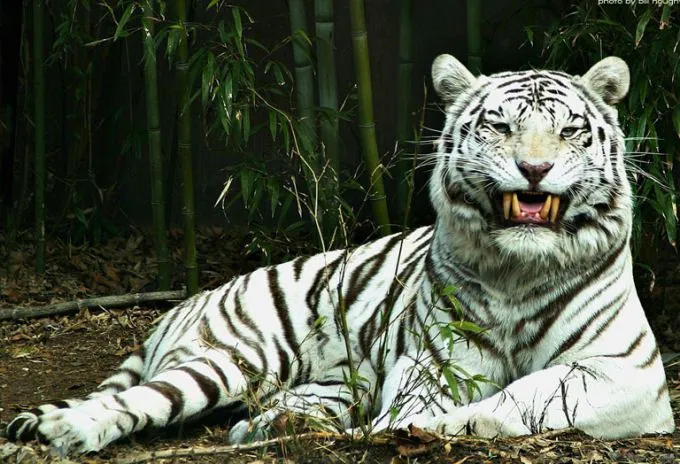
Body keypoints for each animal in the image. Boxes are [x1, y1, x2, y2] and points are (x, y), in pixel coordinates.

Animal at [7, 55, 675, 455]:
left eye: (569, 131)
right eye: (499, 126)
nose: (534, 169)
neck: (518, 267)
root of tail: (185, 302)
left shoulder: (623, 371)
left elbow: (519, 400)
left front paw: (410, 430)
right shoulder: (433, 363)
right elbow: (445, 402)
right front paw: (400, 428)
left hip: (315, 384)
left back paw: (276, 426)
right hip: (229, 359)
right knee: (145, 398)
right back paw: (71, 429)